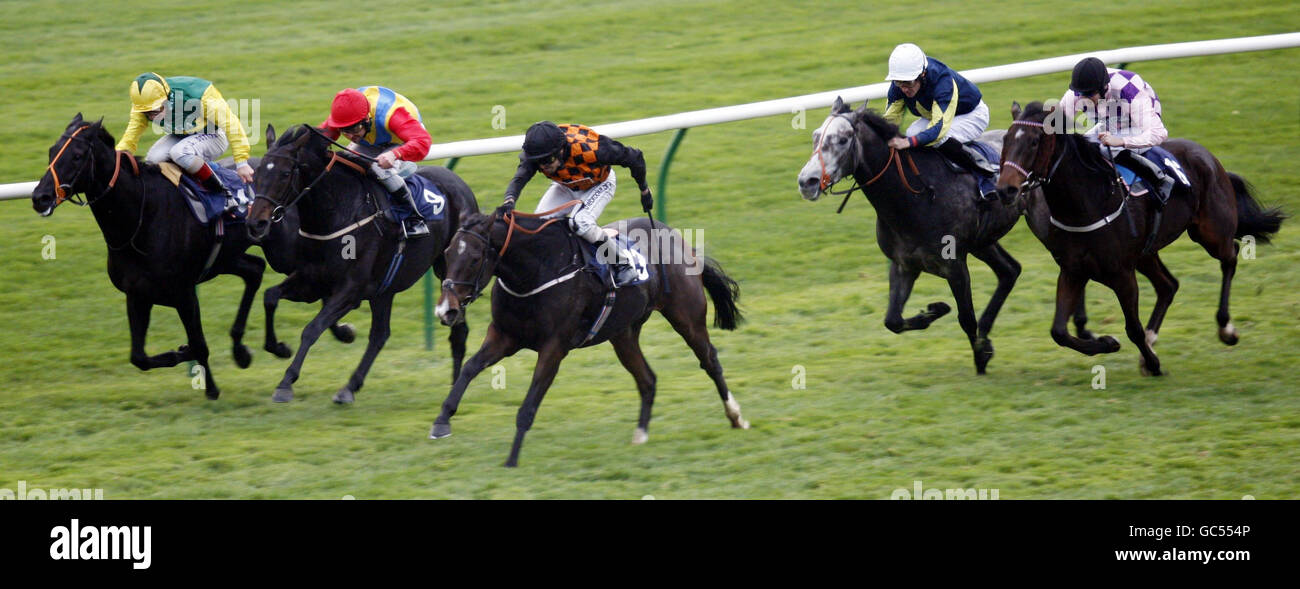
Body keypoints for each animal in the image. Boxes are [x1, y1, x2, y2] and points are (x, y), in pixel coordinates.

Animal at [30, 113, 262, 400]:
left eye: (77, 155)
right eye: (51, 151)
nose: (40, 197)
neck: (142, 219)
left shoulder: (184, 293)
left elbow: (199, 343)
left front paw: (210, 387)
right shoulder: (137, 294)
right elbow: (139, 357)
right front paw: (181, 353)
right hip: (225, 258)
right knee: (255, 269)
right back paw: (241, 350)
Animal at [244, 124, 478, 403]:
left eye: (285, 173)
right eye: (257, 172)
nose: (256, 223)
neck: (336, 214)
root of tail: (462, 185)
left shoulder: (351, 290)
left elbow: (312, 328)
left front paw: (286, 383)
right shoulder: (311, 280)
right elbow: (270, 296)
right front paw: (279, 347)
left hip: (448, 271)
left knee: (457, 329)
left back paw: (454, 383)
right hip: (384, 288)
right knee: (380, 335)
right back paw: (349, 387)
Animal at [431, 209, 748, 465]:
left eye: (474, 259)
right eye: (446, 254)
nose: (446, 310)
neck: (536, 270)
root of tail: (677, 237)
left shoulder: (554, 347)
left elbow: (530, 402)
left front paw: (512, 458)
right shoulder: (504, 335)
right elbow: (470, 368)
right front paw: (441, 422)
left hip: (686, 316)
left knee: (710, 360)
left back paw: (736, 416)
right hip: (623, 334)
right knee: (647, 379)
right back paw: (640, 434)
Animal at [795, 95, 1029, 371]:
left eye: (842, 139)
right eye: (815, 136)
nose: (807, 182)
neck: (915, 195)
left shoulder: (954, 264)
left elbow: (966, 318)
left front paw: (981, 356)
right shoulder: (904, 264)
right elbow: (893, 321)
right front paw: (935, 310)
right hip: (982, 242)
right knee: (1009, 270)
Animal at [998, 101, 1284, 374]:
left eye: (1034, 142)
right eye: (1006, 140)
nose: (1005, 190)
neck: (1087, 204)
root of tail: (1210, 157)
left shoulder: (1122, 274)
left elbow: (1132, 328)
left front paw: (1153, 363)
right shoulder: (1073, 271)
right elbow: (1058, 332)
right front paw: (1108, 342)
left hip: (1210, 232)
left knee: (1230, 256)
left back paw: (1226, 329)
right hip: (1146, 254)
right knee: (1168, 285)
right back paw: (1153, 337)